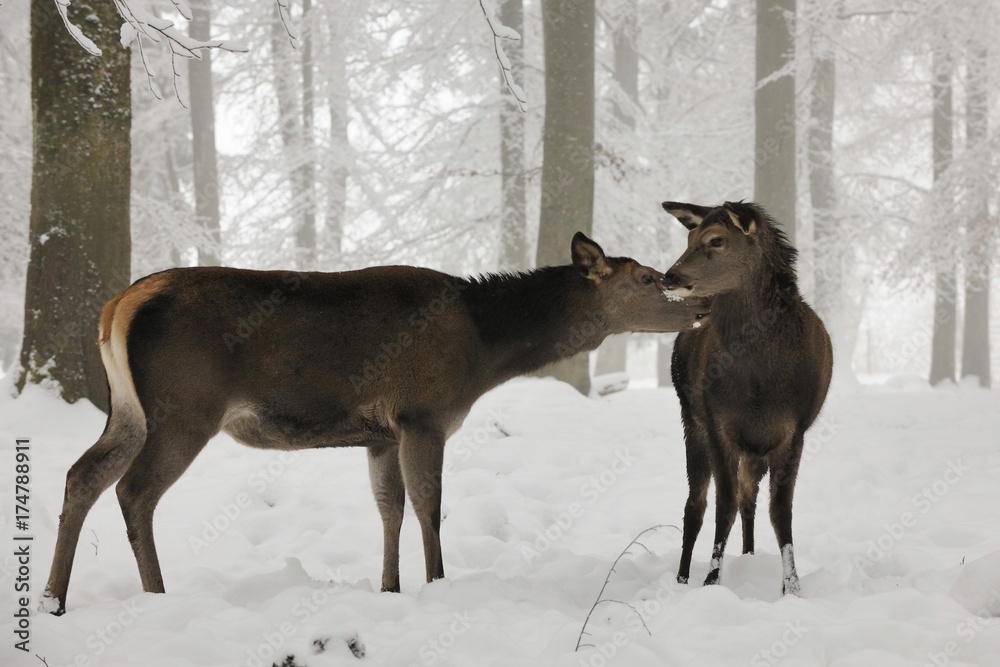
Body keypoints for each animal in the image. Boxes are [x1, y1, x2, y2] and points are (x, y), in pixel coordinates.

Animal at [41, 232, 710, 614]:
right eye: (647, 278)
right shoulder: (423, 413)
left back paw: (53, 598)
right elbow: (429, 506)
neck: (483, 353)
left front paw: (390, 588)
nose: (700, 302)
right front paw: (436, 584)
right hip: (184, 408)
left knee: (82, 475)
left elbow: (390, 507)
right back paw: (156, 596)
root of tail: (115, 308)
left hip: (129, 410)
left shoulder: (381, 434)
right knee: (134, 490)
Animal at [660, 201, 832, 596]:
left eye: (716, 240)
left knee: (748, 498)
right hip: (691, 418)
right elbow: (722, 505)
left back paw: (749, 556)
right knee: (696, 504)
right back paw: (681, 576)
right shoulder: (717, 424)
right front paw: (711, 579)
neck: (759, 383)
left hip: (754, 447)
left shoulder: (793, 430)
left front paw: (792, 588)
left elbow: (779, 509)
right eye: (689, 237)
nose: (668, 277)